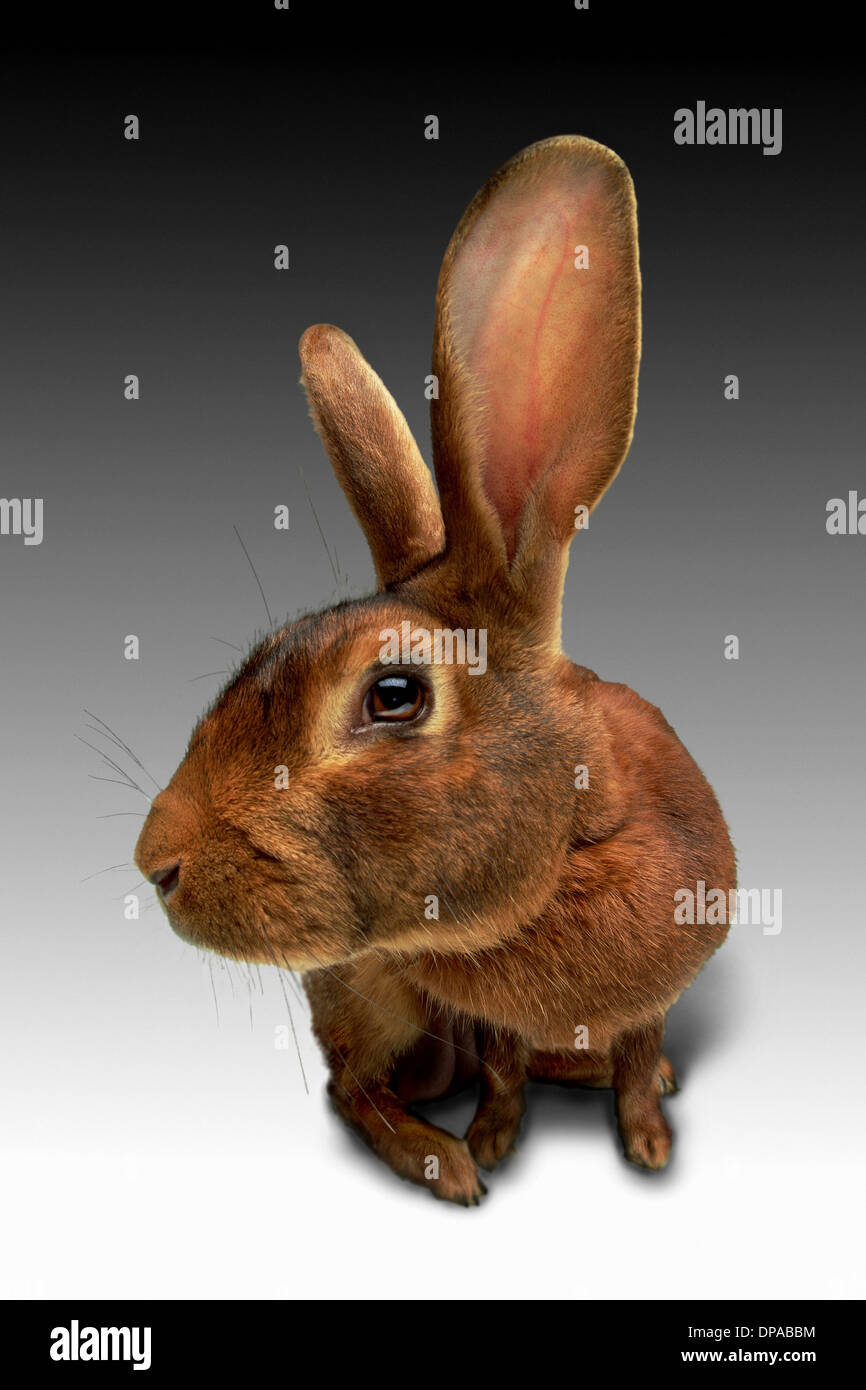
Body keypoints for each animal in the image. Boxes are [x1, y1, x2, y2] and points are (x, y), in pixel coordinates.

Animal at [135, 135, 736, 1205]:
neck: (565, 849)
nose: (155, 862)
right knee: (354, 1088)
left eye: (394, 696)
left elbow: (634, 1050)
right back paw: (438, 1157)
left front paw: (648, 1140)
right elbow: (498, 1067)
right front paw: (487, 1147)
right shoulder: (457, 1006)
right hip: (370, 998)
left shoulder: (656, 985)